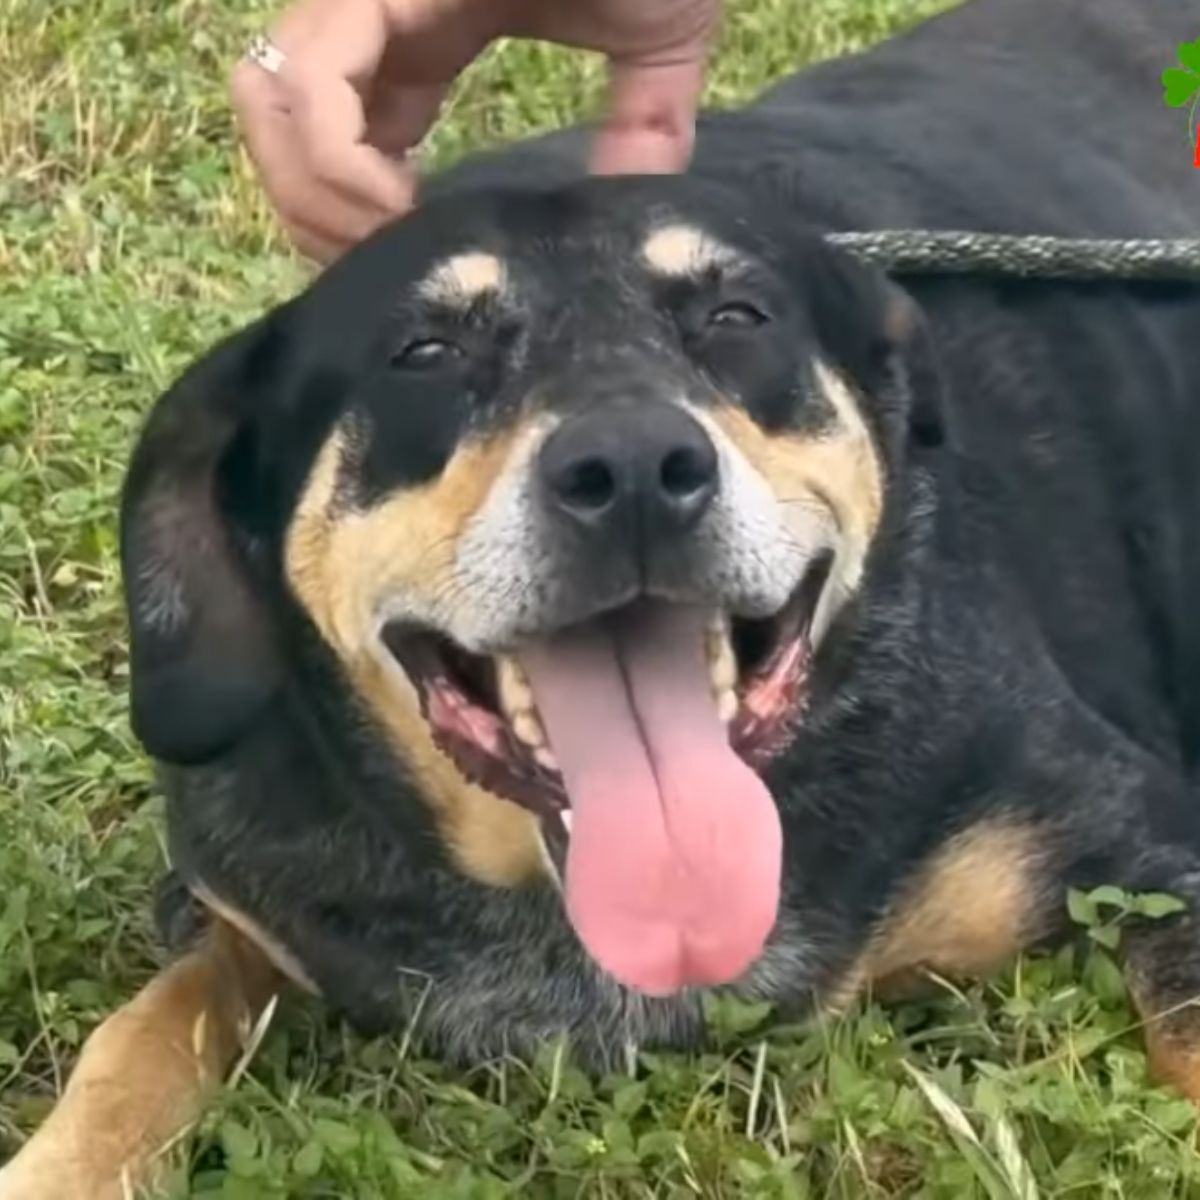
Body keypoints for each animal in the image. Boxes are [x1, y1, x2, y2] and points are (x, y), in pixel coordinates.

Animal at [2, 0, 1200, 1195]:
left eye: (738, 317)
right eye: (425, 351)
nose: (631, 468)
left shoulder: (1139, 838)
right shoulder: (242, 906)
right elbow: (145, 1031)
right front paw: (64, 1160)